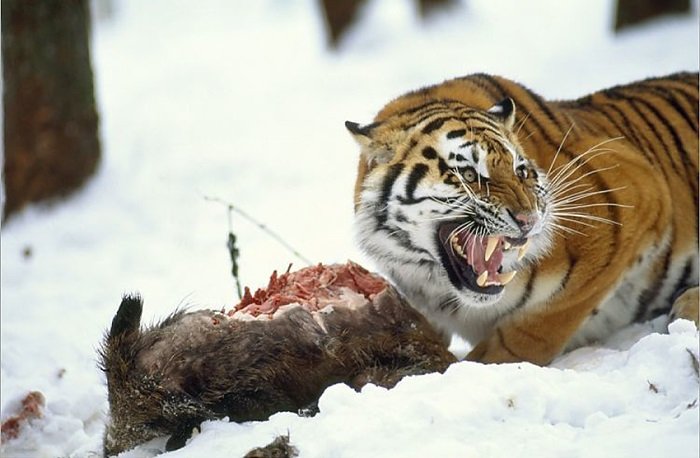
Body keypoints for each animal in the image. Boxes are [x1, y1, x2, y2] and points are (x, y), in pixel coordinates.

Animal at [346, 72, 699, 365]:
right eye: (469, 175)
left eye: (521, 172)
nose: (529, 220)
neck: (435, 284)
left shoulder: (639, 192)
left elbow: (532, 329)